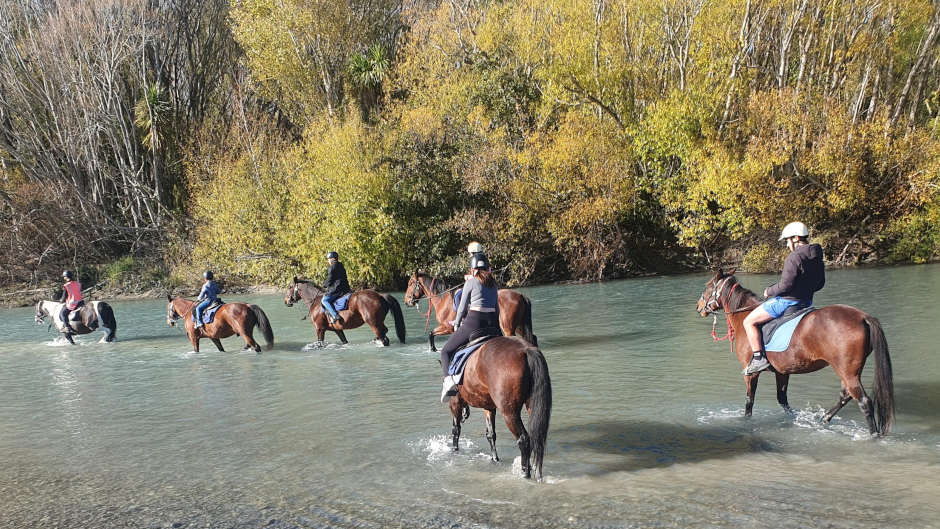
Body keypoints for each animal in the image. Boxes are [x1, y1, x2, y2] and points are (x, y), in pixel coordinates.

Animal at [402, 270, 536, 352]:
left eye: (411, 283)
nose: (406, 301)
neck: (443, 299)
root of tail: (520, 295)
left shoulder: (447, 327)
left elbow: (431, 333)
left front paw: (433, 349)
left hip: (508, 328)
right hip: (518, 326)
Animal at [446, 336, 552, 480]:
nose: (465, 414)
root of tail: (525, 350)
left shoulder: (455, 402)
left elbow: (456, 429)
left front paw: (455, 450)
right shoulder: (489, 407)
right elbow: (490, 434)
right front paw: (494, 459)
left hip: (509, 413)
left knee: (523, 439)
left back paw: (525, 473)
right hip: (531, 406)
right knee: (537, 439)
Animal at [696, 270, 896, 436]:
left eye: (707, 286)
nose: (698, 307)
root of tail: (863, 317)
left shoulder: (750, 374)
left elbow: (749, 401)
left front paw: (745, 421)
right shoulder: (782, 372)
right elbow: (782, 399)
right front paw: (792, 419)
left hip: (847, 371)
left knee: (864, 401)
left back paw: (873, 435)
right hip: (849, 371)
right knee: (845, 395)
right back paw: (824, 419)